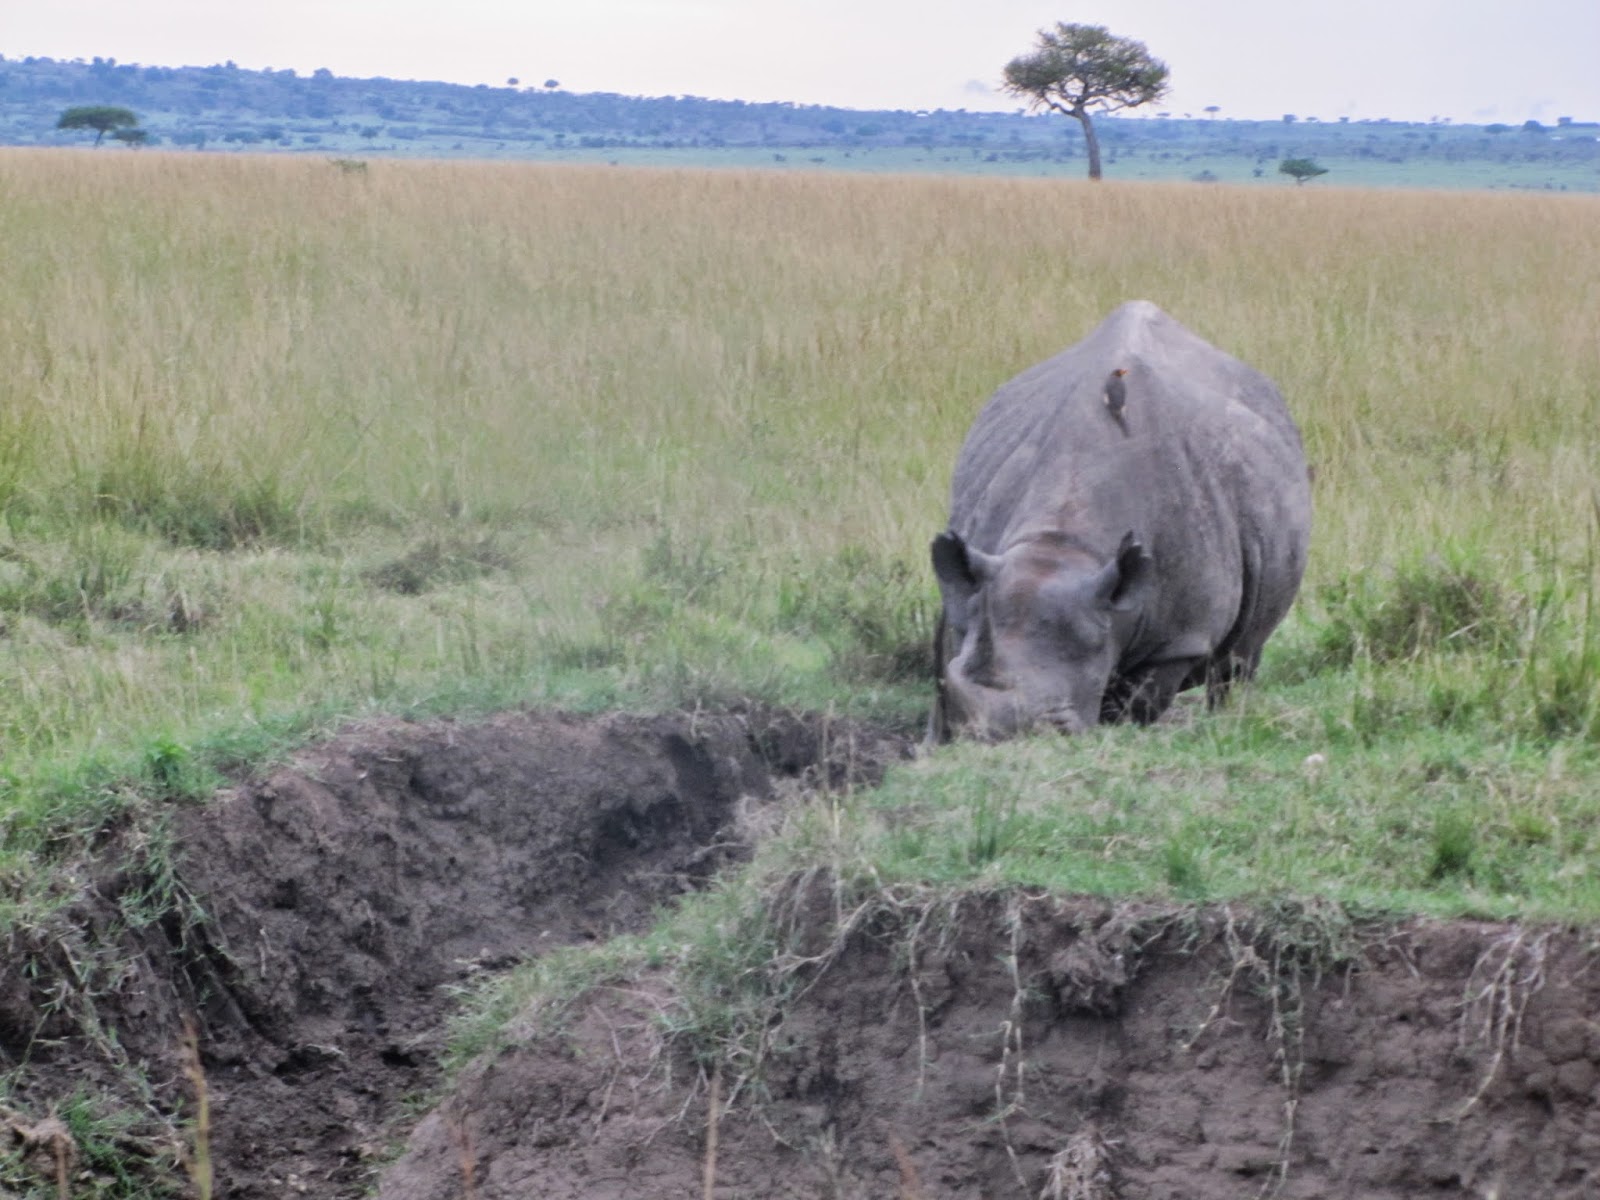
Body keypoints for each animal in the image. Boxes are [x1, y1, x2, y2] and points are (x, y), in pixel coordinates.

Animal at [930, 300, 1311, 741]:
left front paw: (1117, 731)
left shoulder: (1180, 639)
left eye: (1061, 723)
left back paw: (1229, 720)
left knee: (1240, 658)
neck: (1061, 545)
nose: (998, 736)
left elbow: (1137, 699)